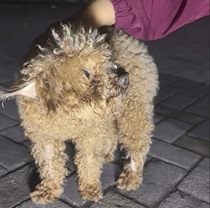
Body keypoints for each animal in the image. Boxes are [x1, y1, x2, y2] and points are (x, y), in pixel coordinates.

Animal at [0, 24, 158, 205]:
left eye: (106, 61)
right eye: (86, 72)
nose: (124, 78)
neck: (69, 112)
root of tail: (129, 39)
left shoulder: (90, 133)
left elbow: (88, 160)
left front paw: (89, 187)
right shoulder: (45, 136)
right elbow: (50, 162)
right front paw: (48, 189)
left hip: (133, 109)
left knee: (137, 143)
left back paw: (131, 176)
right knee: (112, 132)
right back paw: (106, 154)